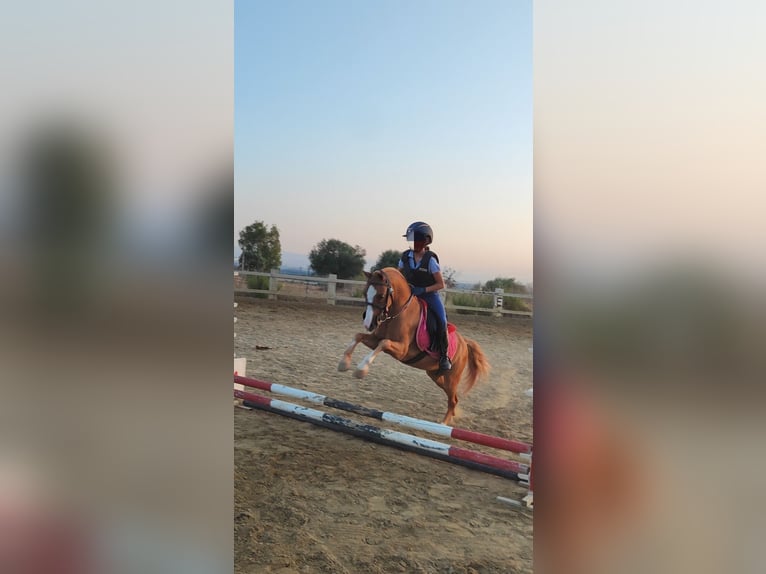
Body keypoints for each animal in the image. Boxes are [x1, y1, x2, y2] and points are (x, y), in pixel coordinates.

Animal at [337, 267, 490, 425]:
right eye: (364, 293)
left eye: (381, 295)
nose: (368, 324)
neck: (398, 312)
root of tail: (464, 342)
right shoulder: (374, 339)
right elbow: (358, 336)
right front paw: (344, 363)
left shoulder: (402, 350)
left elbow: (383, 343)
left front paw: (361, 369)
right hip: (436, 375)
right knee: (453, 397)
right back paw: (451, 417)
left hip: (452, 378)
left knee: (453, 399)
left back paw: (443, 423)